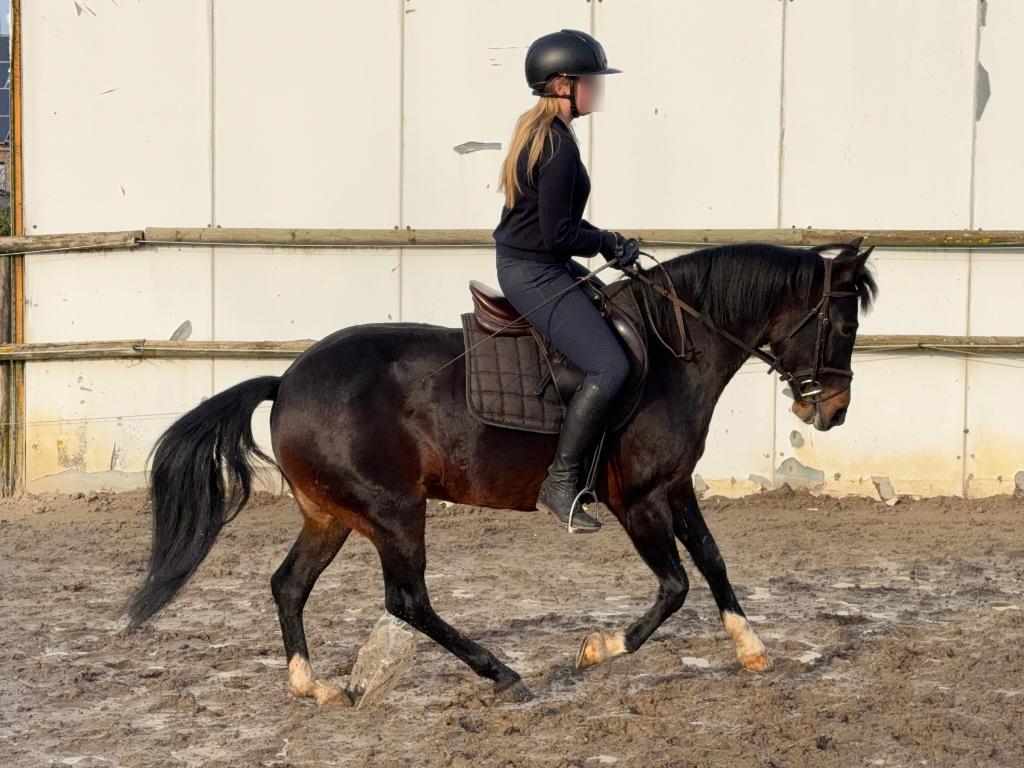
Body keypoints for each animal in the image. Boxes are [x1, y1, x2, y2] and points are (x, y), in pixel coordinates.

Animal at [125, 239, 877, 705]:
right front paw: (600, 649)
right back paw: (504, 675)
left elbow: (714, 562)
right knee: (407, 601)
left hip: (332, 516)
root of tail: (284, 381)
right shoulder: (637, 500)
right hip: (394, 513)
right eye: (843, 326)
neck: (671, 351)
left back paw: (315, 686)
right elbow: (674, 587)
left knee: (289, 585)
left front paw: (752, 649)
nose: (834, 411)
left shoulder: (673, 487)